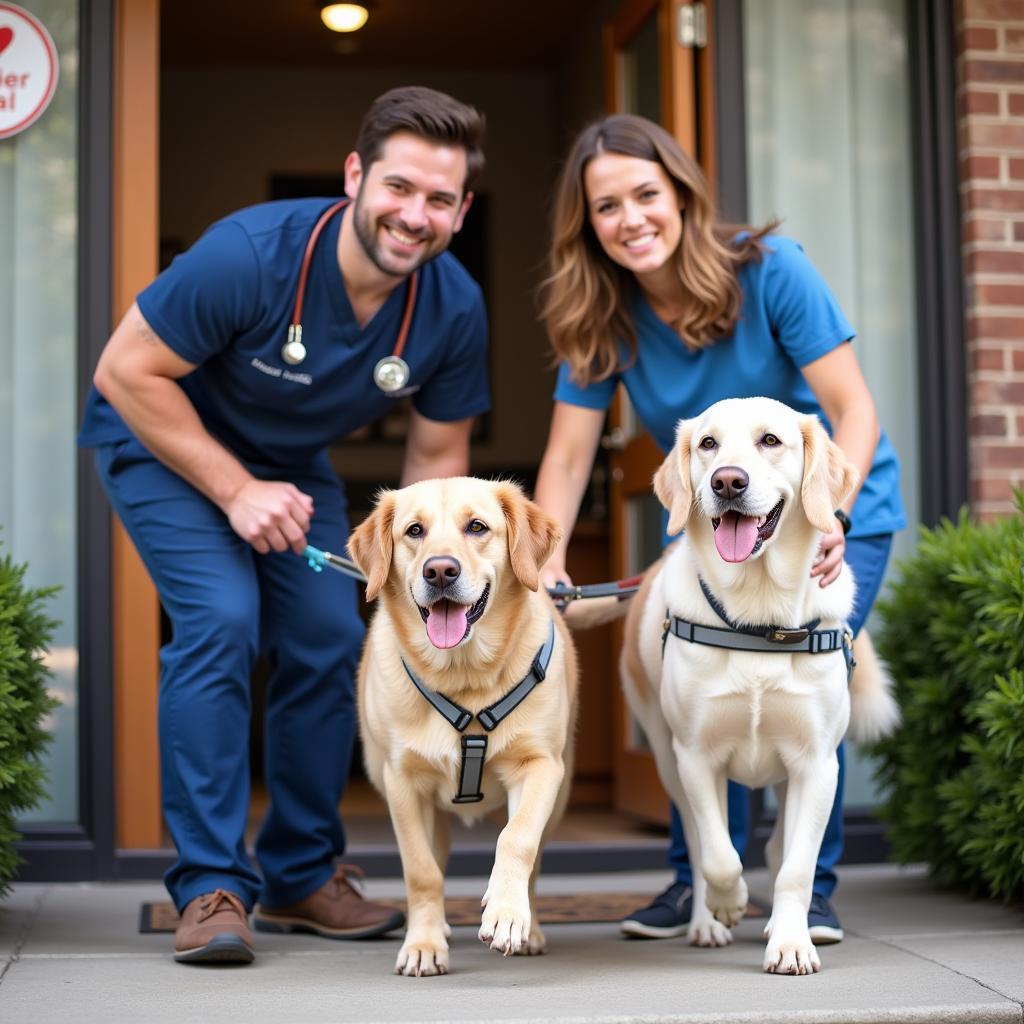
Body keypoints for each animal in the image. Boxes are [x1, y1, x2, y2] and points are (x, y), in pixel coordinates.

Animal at [350, 477, 577, 974]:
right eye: (414, 531)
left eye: (477, 527)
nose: (439, 571)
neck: (465, 677)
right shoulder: (403, 783)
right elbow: (421, 871)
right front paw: (423, 944)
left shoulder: (539, 767)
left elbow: (517, 839)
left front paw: (508, 914)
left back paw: (529, 926)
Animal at [614, 393, 897, 974]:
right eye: (708, 443)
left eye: (771, 440)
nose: (727, 482)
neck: (759, 616)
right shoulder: (695, 757)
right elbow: (718, 853)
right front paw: (729, 903)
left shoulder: (816, 763)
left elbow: (795, 866)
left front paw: (790, 942)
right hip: (664, 756)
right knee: (701, 842)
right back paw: (705, 920)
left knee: (777, 847)